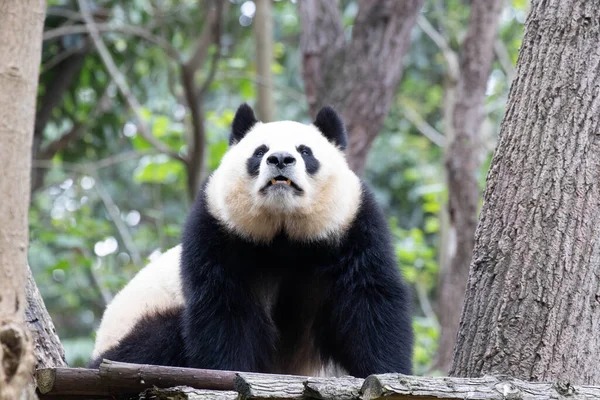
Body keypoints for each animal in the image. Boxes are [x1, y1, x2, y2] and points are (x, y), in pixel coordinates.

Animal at [89, 104, 414, 378]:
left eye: (305, 151)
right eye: (260, 151)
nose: (280, 159)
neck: (284, 232)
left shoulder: (350, 228)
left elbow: (368, 302)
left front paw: (387, 370)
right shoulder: (218, 231)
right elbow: (223, 308)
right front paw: (226, 368)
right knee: (160, 336)